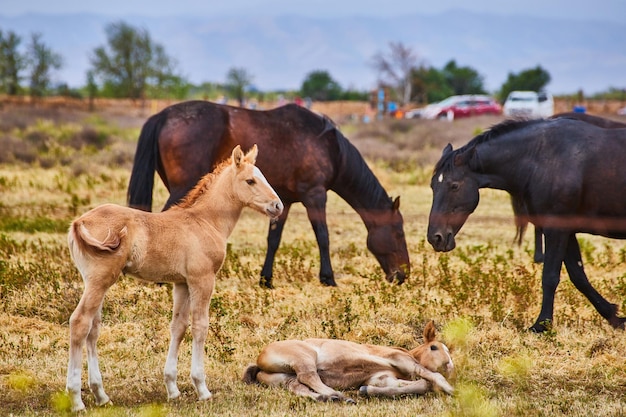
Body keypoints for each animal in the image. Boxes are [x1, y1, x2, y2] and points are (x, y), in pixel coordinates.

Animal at [66, 145, 282, 412]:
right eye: (250, 180)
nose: (277, 206)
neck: (205, 221)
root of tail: (79, 222)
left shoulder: (181, 283)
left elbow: (178, 327)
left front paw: (172, 389)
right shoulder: (202, 279)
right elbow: (200, 326)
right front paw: (202, 388)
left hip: (96, 283)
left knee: (93, 329)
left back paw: (101, 395)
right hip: (99, 281)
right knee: (80, 323)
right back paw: (76, 399)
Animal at [127, 101, 410, 290]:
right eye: (398, 232)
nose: (403, 275)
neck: (330, 148)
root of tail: (163, 114)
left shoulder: (283, 201)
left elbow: (274, 240)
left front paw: (266, 279)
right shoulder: (315, 196)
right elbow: (323, 237)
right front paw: (328, 278)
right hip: (181, 187)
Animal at [241, 320, 450, 402]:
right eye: (434, 347)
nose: (449, 365)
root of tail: (259, 361)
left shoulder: (382, 378)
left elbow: (417, 385)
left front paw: (366, 390)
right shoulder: (400, 360)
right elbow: (429, 376)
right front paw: (450, 389)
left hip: (284, 378)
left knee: (299, 386)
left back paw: (327, 398)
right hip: (304, 358)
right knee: (309, 376)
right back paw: (338, 396)